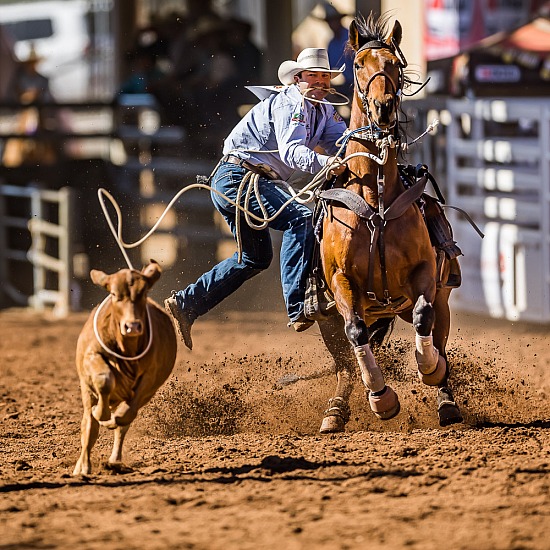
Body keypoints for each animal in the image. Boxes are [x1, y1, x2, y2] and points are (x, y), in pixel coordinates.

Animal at [73, 260, 177, 476]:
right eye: (114, 294)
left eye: (144, 293)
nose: (133, 327)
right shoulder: (92, 357)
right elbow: (104, 381)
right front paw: (100, 413)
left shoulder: (149, 379)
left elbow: (125, 416)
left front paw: (112, 419)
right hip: (86, 390)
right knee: (89, 428)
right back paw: (83, 466)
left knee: (123, 424)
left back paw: (114, 460)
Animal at [316, 12, 464, 434]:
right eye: (358, 65)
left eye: (396, 64)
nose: (383, 108)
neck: (375, 198)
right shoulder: (340, 281)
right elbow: (355, 332)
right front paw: (381, 399)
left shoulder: (425, 273)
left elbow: (423, 317)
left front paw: (430, 369)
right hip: (325, 317)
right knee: (344, 363)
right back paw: (335, 411)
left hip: (440, 297)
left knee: (436, 331)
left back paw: (446, 399)